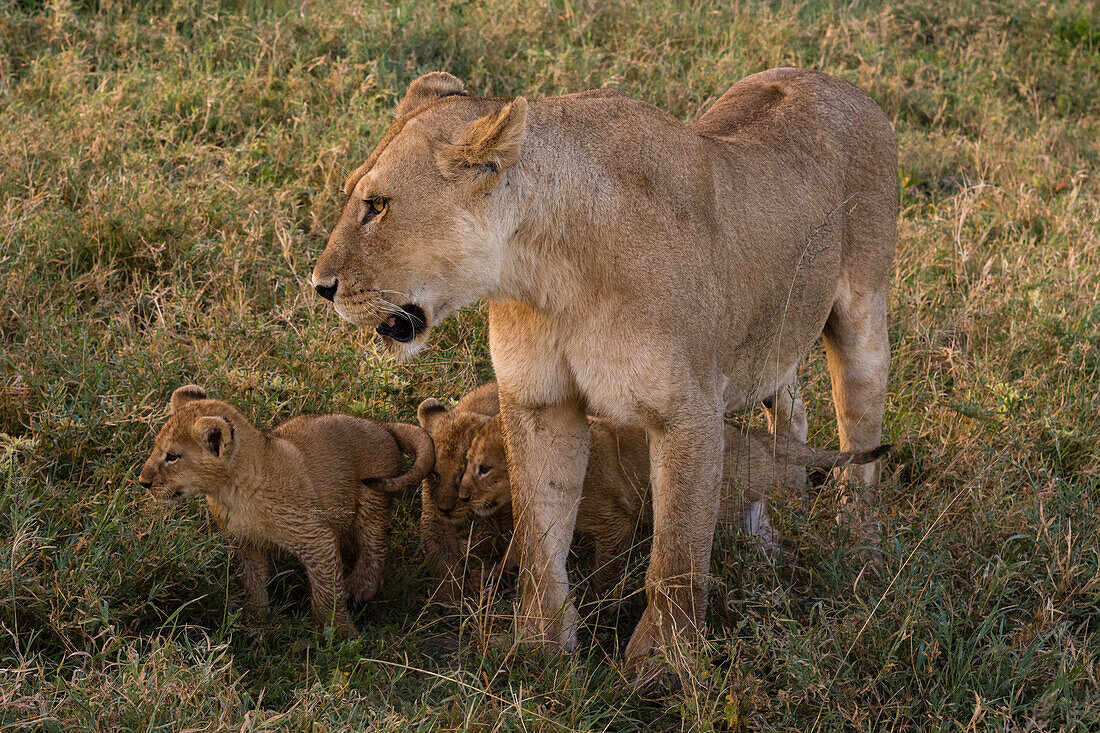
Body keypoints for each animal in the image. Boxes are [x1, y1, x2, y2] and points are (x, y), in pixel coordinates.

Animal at [310, 67, 893, 677]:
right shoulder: (539, 403)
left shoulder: (687, 413)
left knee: (862, 447)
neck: (550, 270)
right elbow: (540, 538)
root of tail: (833, 80)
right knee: (793, 408)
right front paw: (540, 646)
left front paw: (662, 663)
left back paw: (860, 552)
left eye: (377, 205)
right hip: (772, 337)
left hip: (863, 321)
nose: (319, 286)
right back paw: (788, 507)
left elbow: (676, 554)